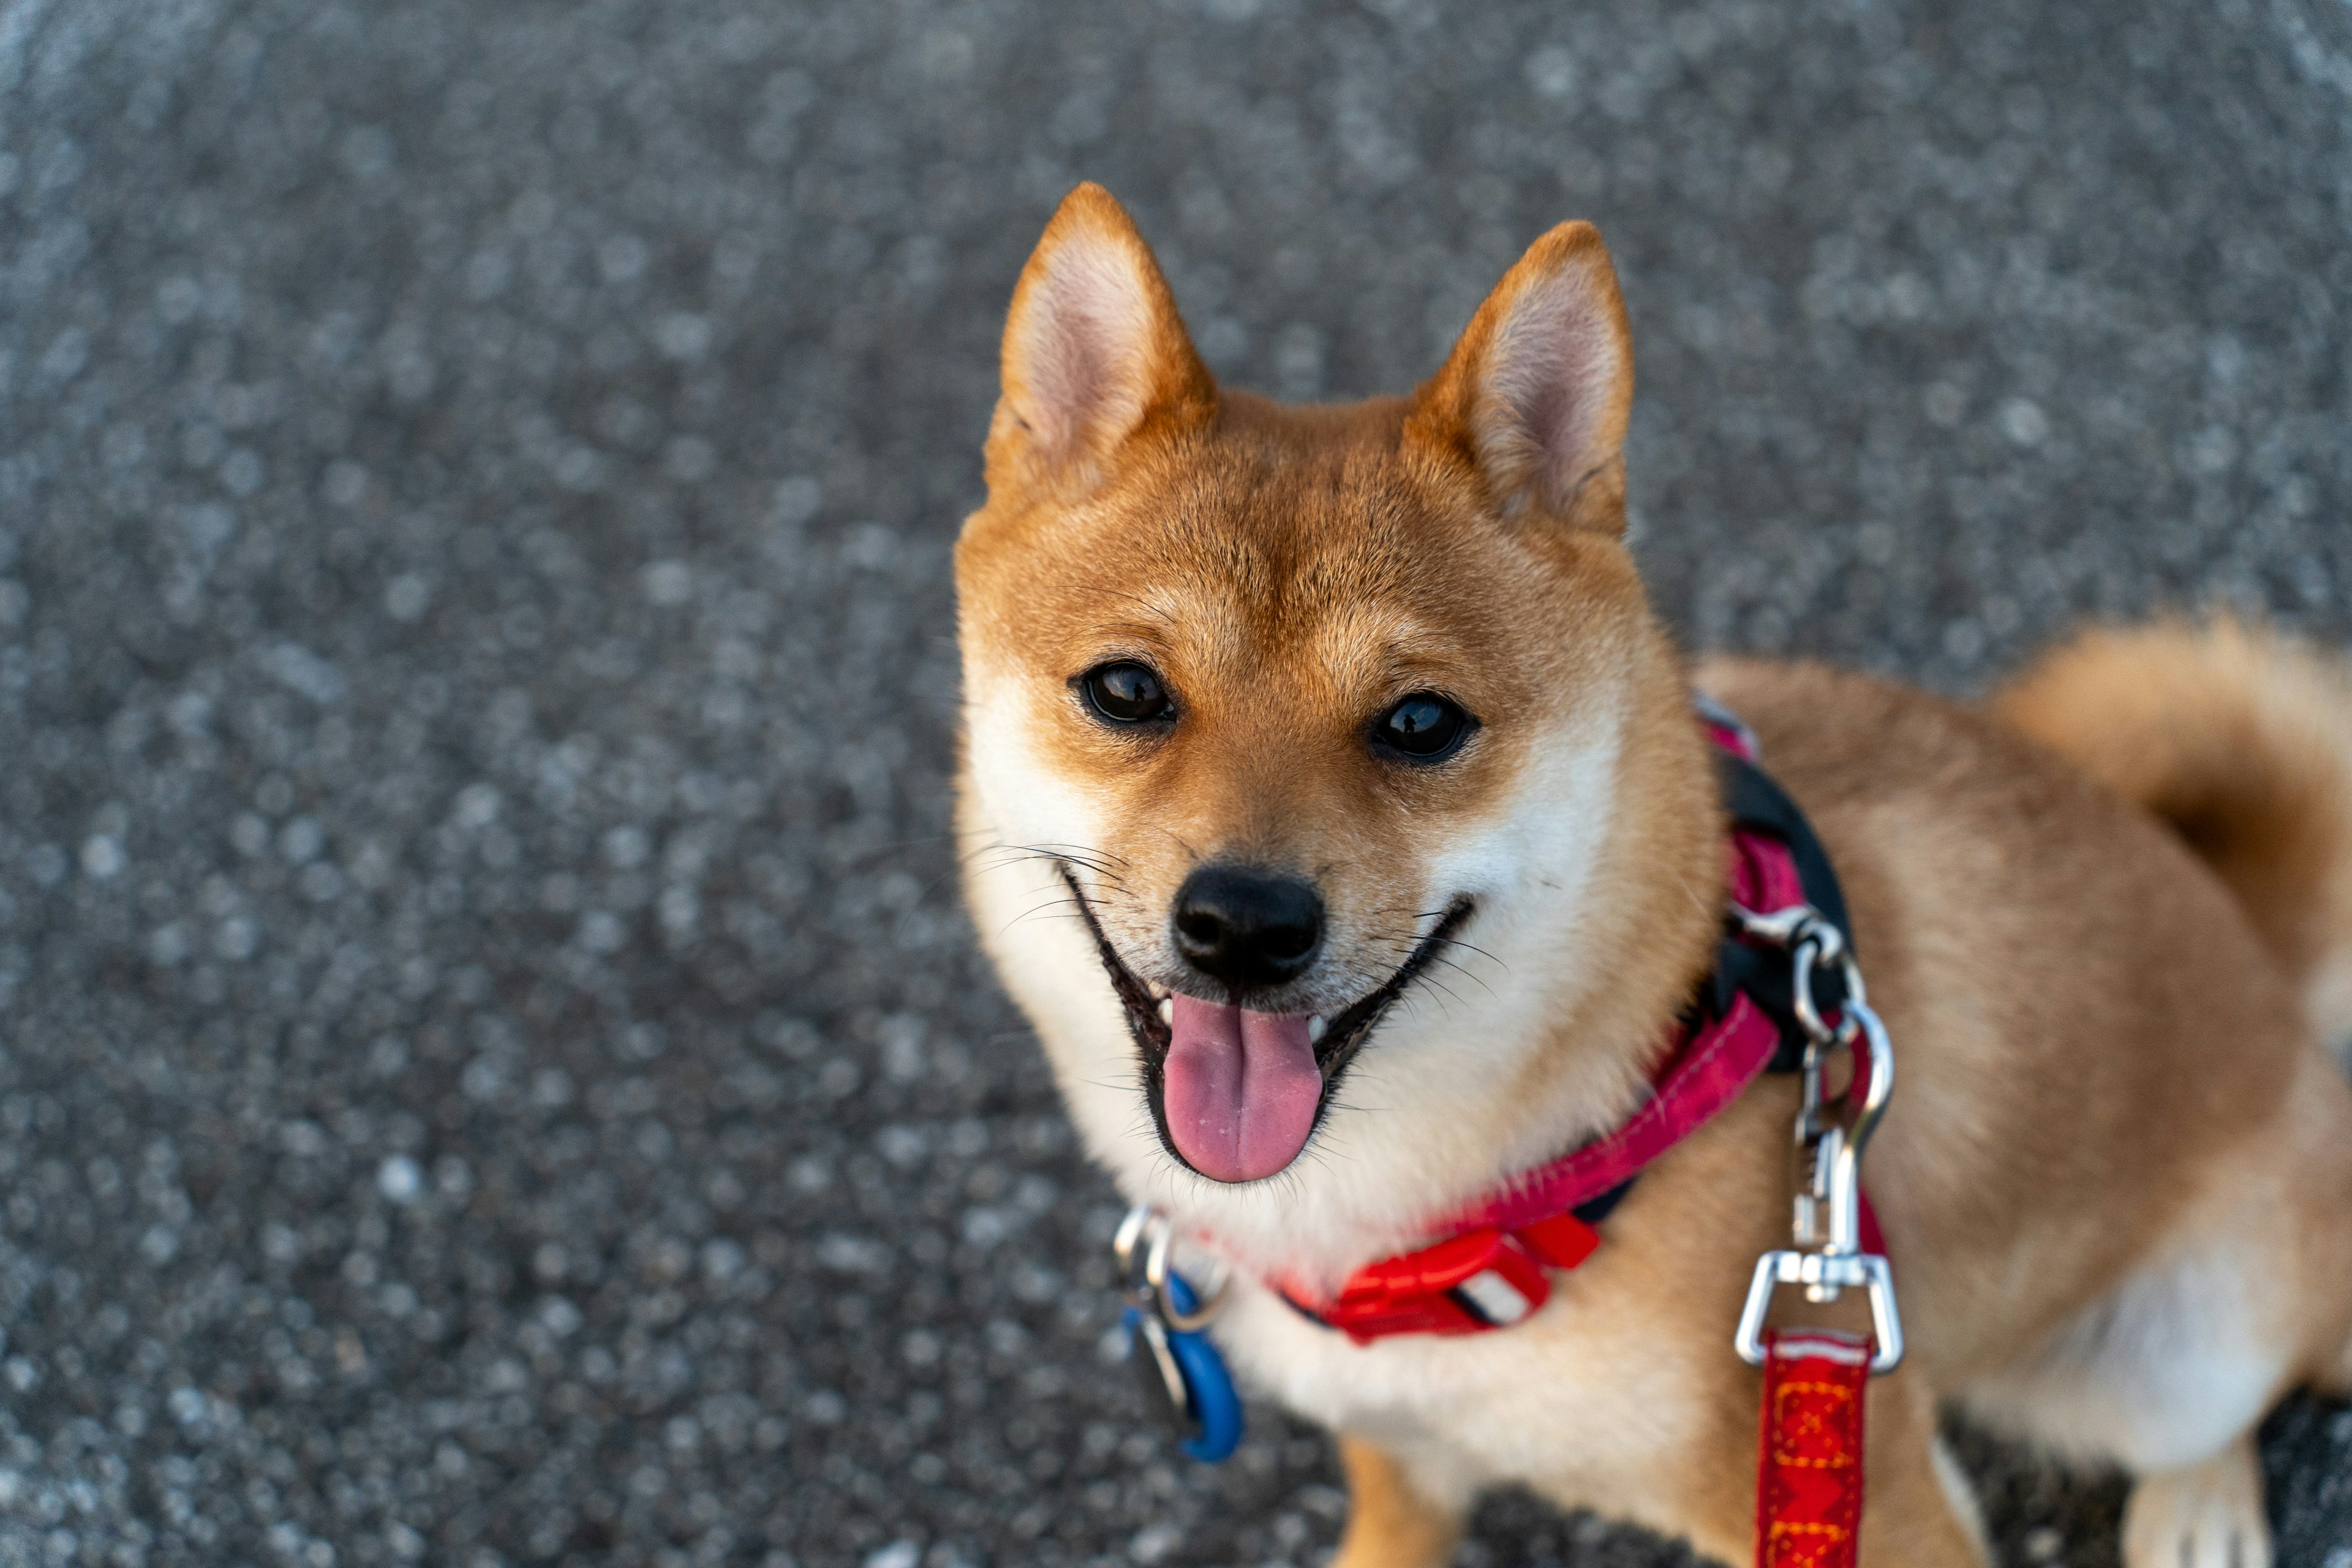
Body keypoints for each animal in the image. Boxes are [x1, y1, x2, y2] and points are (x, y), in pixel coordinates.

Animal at [950, 187, 2352, 1568]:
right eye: (1127, 691)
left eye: (1421, 723)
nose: (1244, 924)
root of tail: (2248, 936)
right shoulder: (1398, 1436)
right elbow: (1397, 1517)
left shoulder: (1874, 1489)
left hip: (2185, 1354)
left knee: (2236, 1399)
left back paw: (2199, 1509)